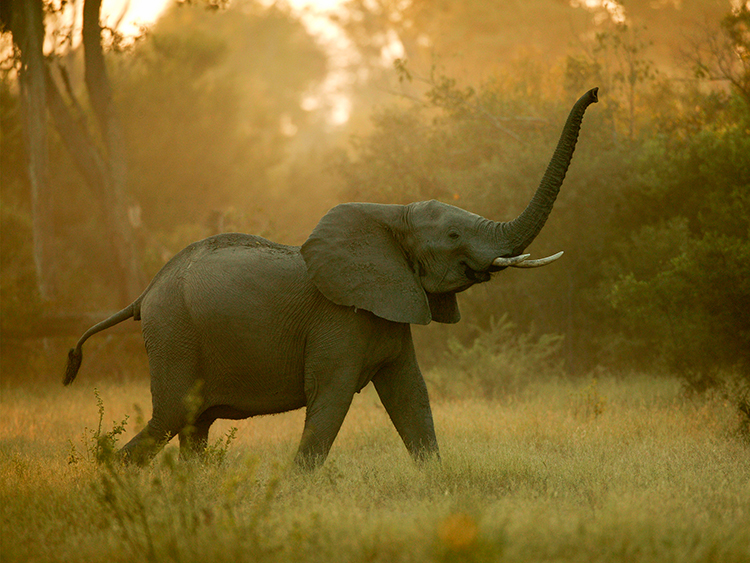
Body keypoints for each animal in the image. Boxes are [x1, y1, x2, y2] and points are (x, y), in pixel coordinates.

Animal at [66, 87, 600, 468]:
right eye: (452, 234)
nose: (595, 93)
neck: (390, 216)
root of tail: (144, 294)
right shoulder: (338, 319)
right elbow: (332, 399)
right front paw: (298, 489)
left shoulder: (389, 308)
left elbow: (411, 397)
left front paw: (439, 482)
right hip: (175, 333)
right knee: (172, 417)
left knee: (194, 426)